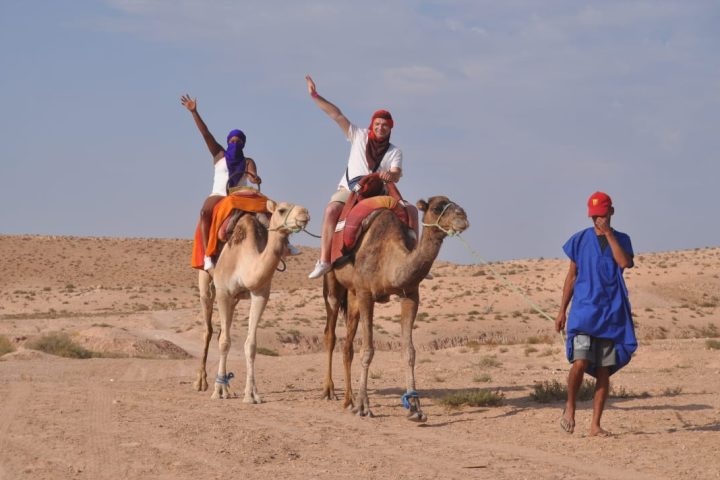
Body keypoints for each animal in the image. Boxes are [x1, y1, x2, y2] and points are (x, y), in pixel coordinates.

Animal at [194, 199, 310, 402]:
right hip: (206, 284)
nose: (305, 214)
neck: (244, 260)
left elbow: (251, 344)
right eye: (281, 210)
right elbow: (224, 342)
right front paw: (217, 391)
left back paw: (228, 387)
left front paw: (251, 394)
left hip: (235, 300)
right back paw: (203, 383)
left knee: (222, 331)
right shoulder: (224, 292)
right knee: (209, 331)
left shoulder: (260, 293)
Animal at [320, 195, 466, 420]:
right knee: (330, 333)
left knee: (347, 345)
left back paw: (348, 399)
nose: (463, 217)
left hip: (352, 294)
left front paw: (415, 408)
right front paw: (363, 406)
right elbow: (367, 350)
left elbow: (409, 351)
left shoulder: (410, 295)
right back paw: (330, 391)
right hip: (334, 283)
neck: (389, 260)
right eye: (436, 207)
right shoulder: (366, 294)